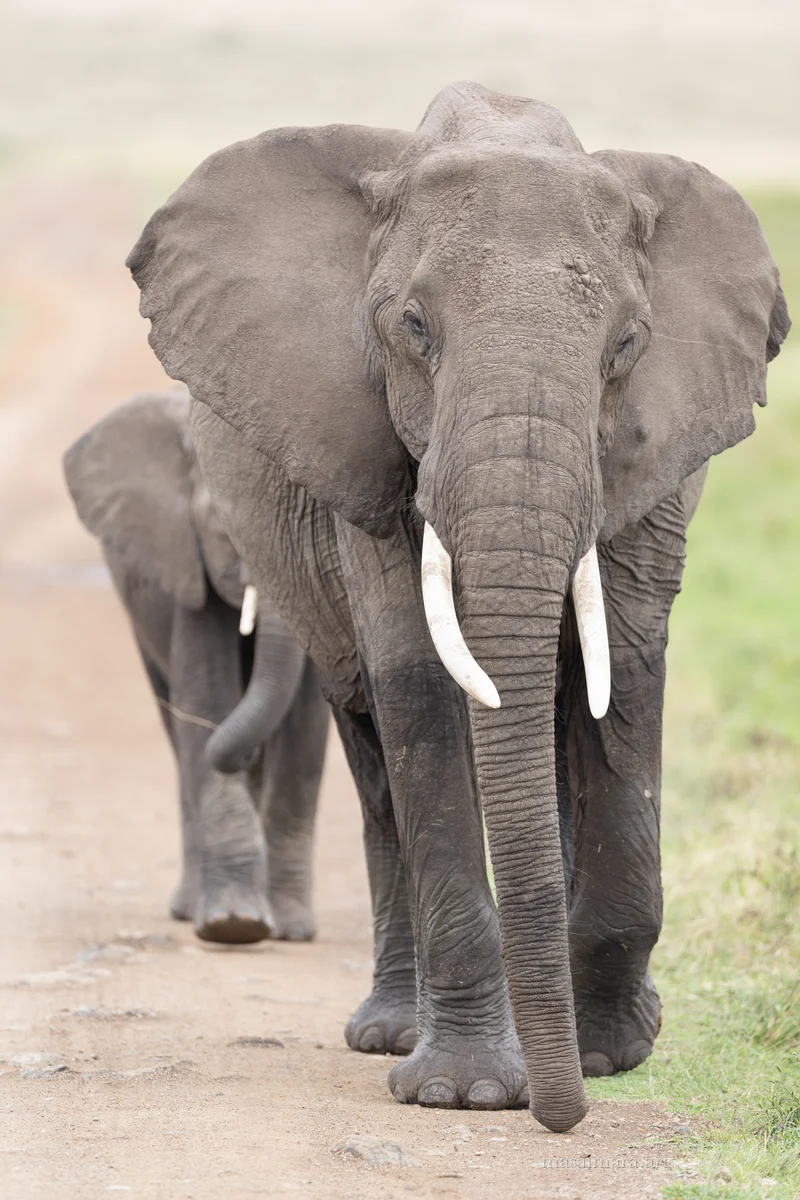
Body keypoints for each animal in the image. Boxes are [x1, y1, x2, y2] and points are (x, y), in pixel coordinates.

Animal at [63, 388, 330, 944]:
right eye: (225, 531)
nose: (244, 754)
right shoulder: (186, 560)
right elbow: (207, 699)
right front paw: (235, 925)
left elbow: (304, 723)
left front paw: (291, 929)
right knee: (175, 725)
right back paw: (189, 908)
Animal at [125, 82, 789, 1131]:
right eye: (413, 328)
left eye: (627, 345)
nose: (563, 1118)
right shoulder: (361, 445)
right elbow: (420, 685)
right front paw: (469, 1092)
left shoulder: (657, 449)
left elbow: (626, 661)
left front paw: (606, 1055)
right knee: (371, 747)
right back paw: (394, 1034)